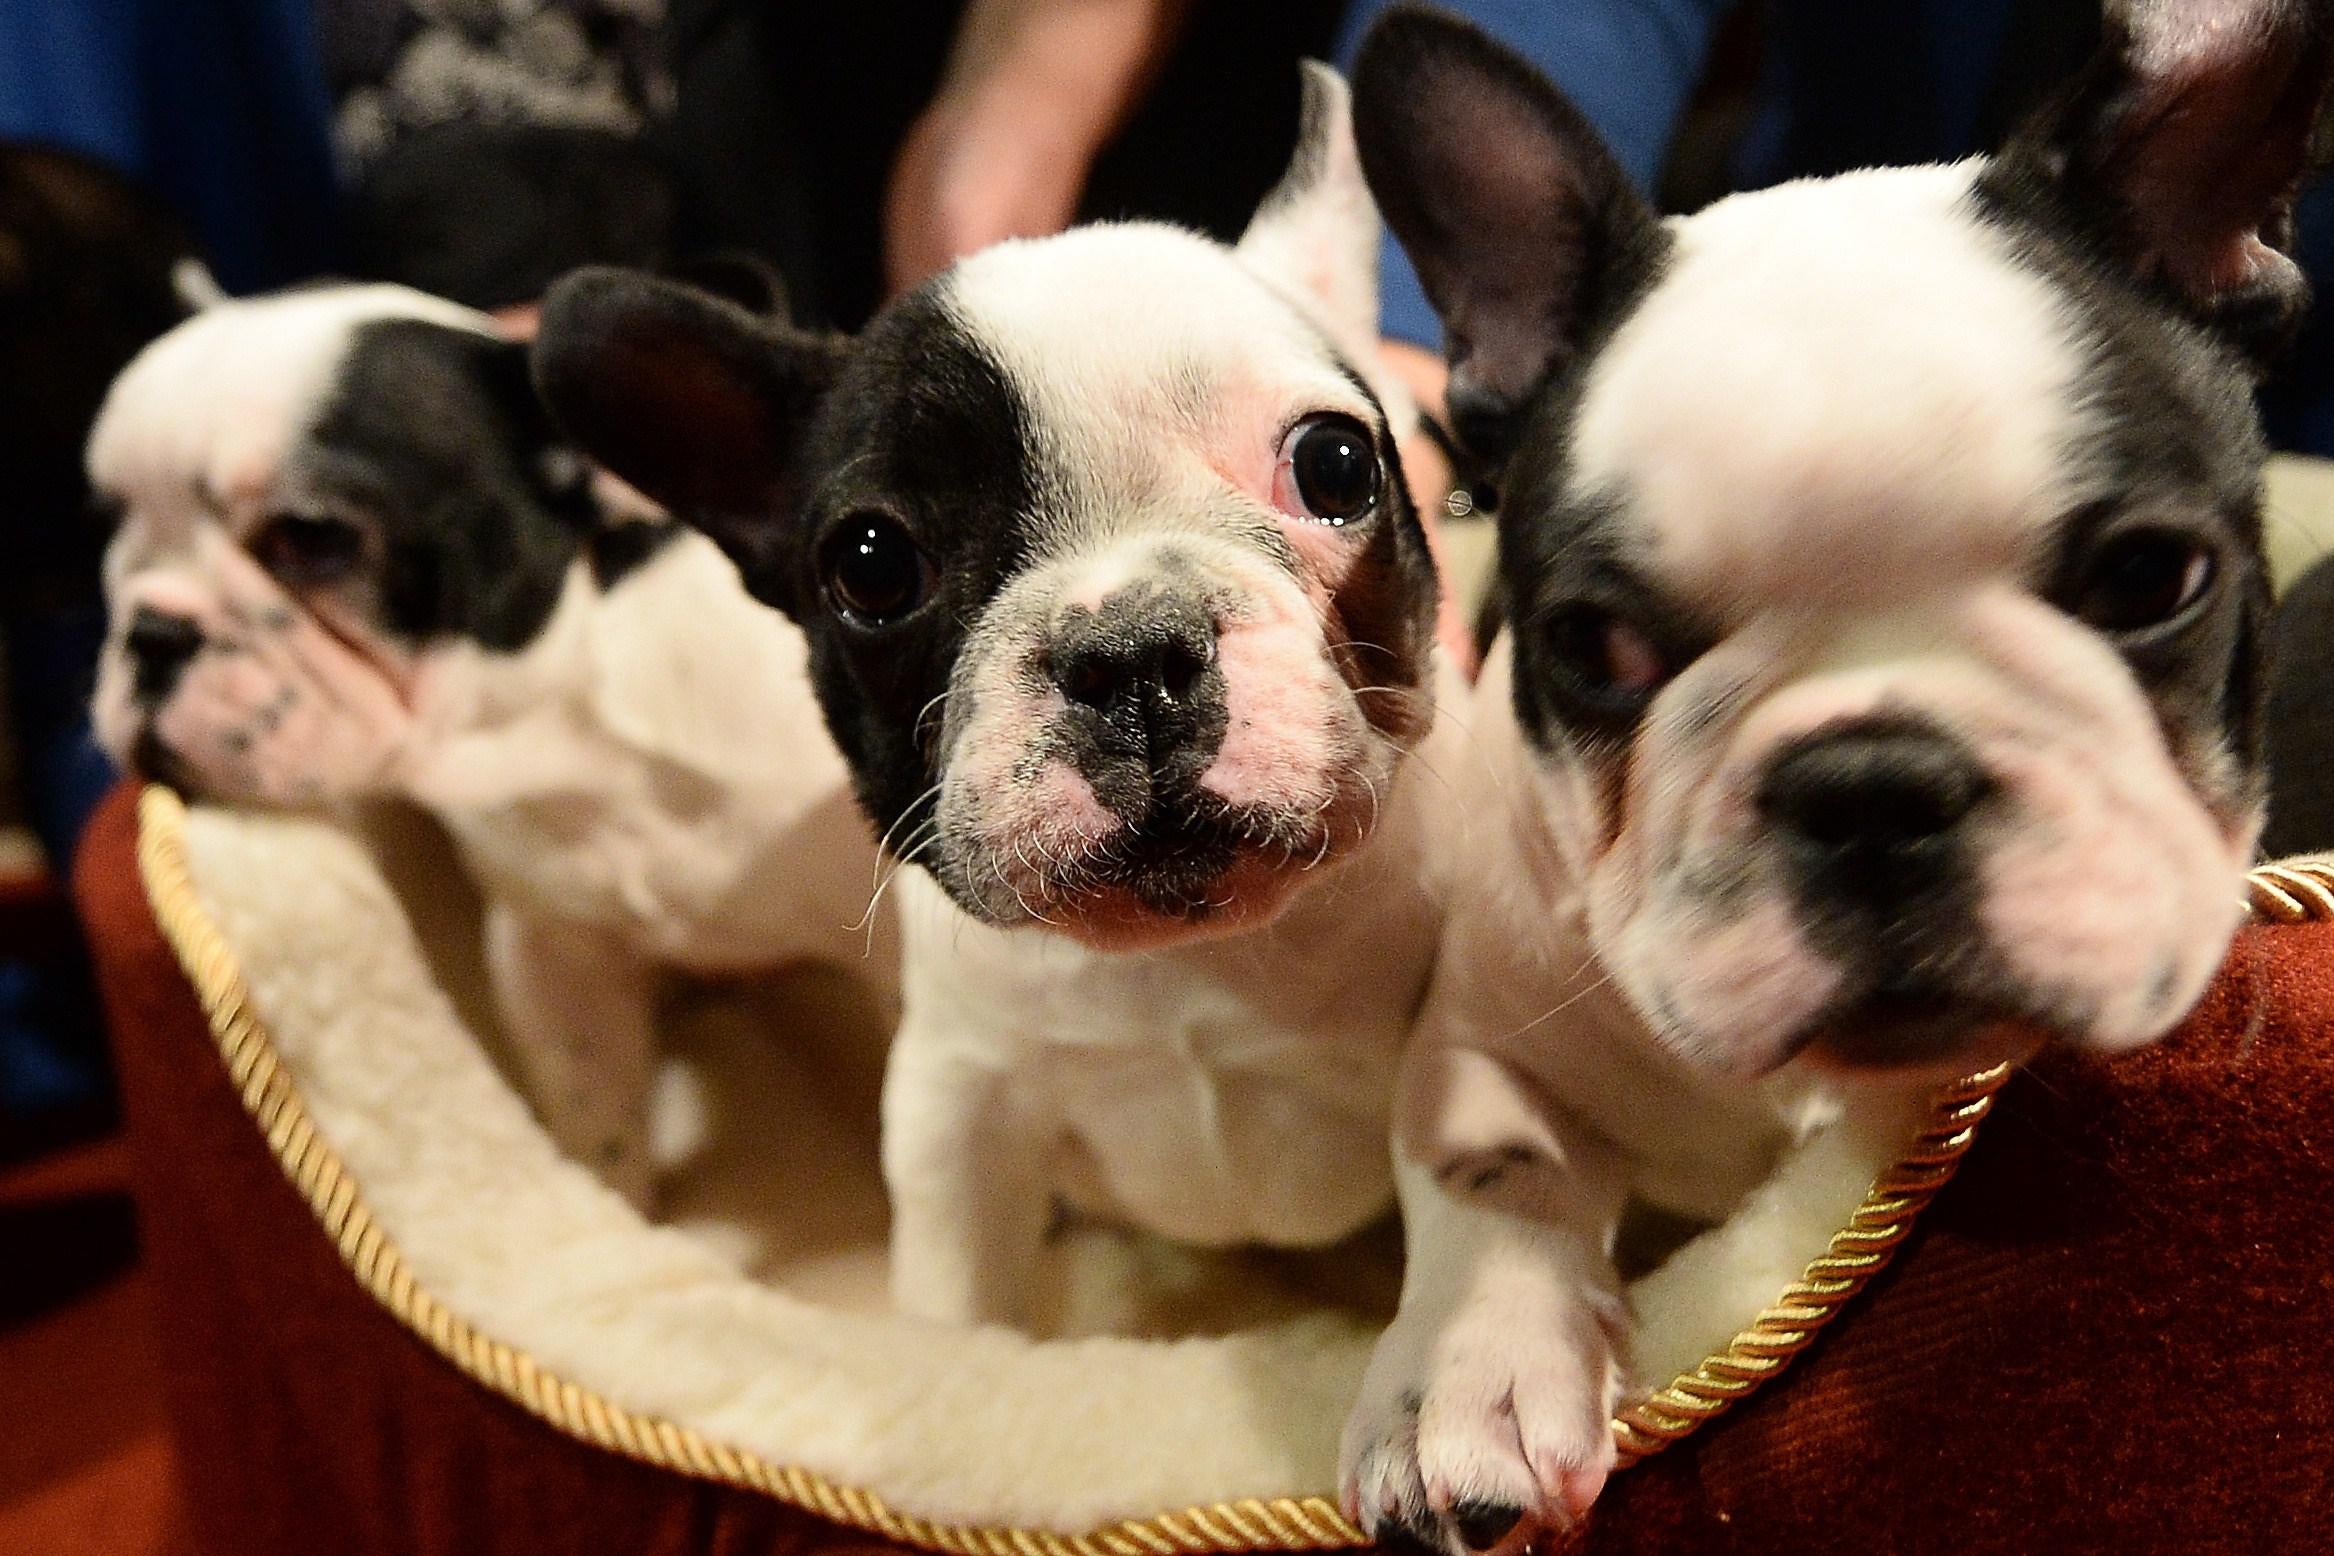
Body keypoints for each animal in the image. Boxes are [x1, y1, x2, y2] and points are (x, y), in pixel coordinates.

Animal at [93, 285, 891, 1213]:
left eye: (313, 537)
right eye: (111, 537)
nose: (150, 631)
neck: (577, 734)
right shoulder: (557, 959)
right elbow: (597, 1119)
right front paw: (620, 1210)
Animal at [536, 69, 1465, 1343]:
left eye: (1335, 465)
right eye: (872, 563)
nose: (1130, 655)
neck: (1186, 964)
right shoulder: (956, 1116)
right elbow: (964, 1316)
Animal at [1344, 0, 2324, 1549]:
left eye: (2150, 578)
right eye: (1593, 645)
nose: (1872, 783)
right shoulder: (1478, 1033)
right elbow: (1494, 1170)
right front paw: (1464, 1373)